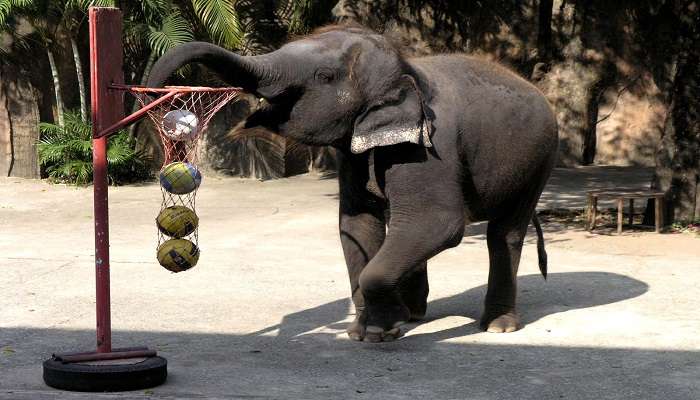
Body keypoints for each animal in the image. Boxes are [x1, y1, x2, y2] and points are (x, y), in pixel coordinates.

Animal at [148, 22, 556, 340]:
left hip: (539, 160)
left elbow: (438, 223)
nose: (156, 95)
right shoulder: (353, 156)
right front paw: (366, 329)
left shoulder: (430, 148)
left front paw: (379, 330)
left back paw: (498, 326)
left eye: (325, 77)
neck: (407, 70)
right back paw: (414, 314)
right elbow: (358, 224)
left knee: (504, 232)